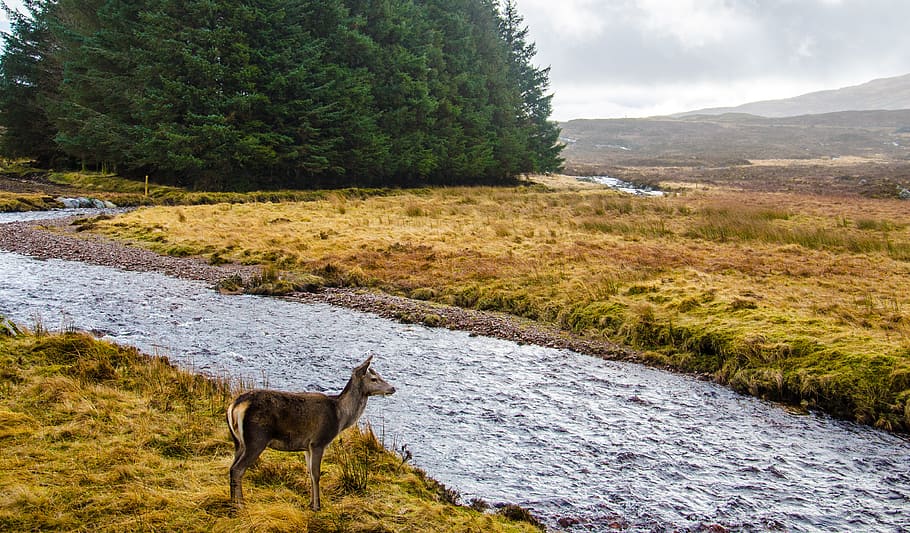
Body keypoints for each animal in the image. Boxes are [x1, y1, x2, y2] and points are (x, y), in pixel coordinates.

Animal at [226, 355, 395, 511]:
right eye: (374, 379)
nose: (392, 388)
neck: (340, 417)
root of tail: (235, 406)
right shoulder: (318, 441)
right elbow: (316, 474)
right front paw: (317, 506)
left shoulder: (306, 447)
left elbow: (309, 473)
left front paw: (310, 503)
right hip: (257, 438)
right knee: (238, 469)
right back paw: (240, 504)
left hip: (238, 441)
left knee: (232, 467)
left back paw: (232, 502)